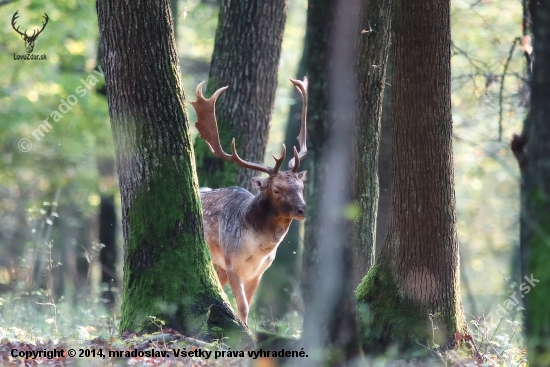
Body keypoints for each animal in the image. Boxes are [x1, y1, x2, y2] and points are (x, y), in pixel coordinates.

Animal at [192, 77, 308, 324]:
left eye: (301, 187)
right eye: (277, 189)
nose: (302, 210)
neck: (256, 250)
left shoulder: (259, 271)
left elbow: (247, 303)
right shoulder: (231, 261)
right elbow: (243, 307)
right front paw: (243, 330)